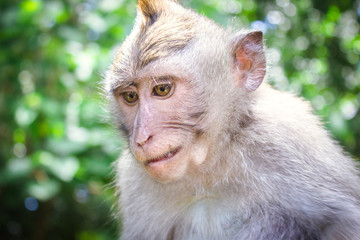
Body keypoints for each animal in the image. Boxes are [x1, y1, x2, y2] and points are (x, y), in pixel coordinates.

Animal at [101, 0, 360, 239]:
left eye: (162, 89)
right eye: (131, 97)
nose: (141, 138)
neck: (213, 161)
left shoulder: (288, 140)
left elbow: (345, 222)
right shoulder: (133, 180)